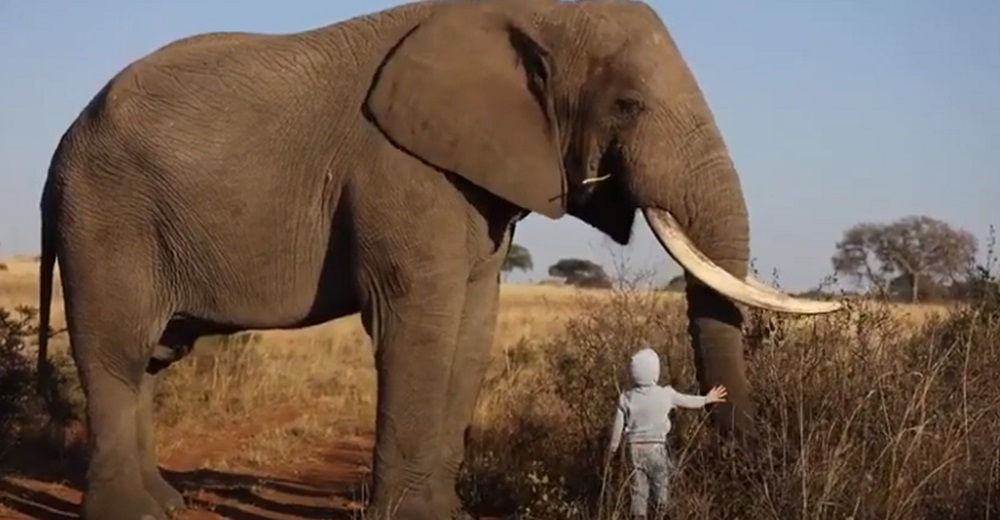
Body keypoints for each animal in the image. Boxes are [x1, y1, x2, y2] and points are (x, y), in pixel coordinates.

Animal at [35, 1, 840, 520]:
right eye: (627, 106)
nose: (752, 470)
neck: (524, 13)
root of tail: (58, 149)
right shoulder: (402, 168)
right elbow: (416, 324)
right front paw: (414, 516)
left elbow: (472, 329)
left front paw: (446, 512)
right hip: (106, 214)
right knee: (116, 353)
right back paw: (133, 514)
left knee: (148, 360)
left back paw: (166, 505)